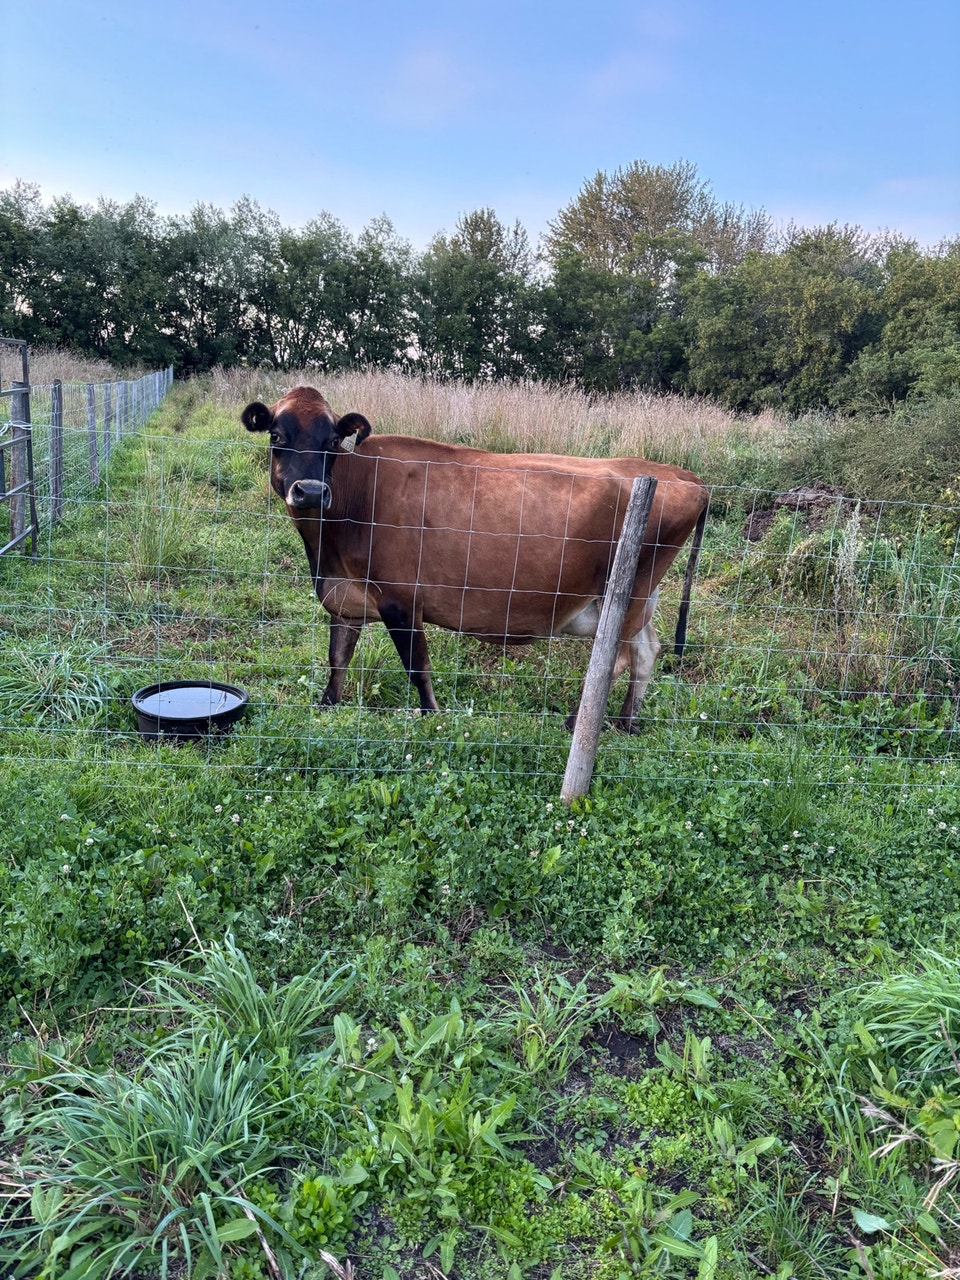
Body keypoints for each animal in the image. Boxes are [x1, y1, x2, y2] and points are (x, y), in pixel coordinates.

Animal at [242, 386, 708, 731]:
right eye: (277, 436)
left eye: (333, 441)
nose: (310, 491)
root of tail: (684, 475)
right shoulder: (346, 598)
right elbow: (338, 659)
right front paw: (326, 708)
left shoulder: (401, 599)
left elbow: (417, 668)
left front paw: (432, 719)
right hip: (639, 599)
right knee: (646, 654)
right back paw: (627, 723)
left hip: (627, 593)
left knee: (619, 661)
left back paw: (577, 723)